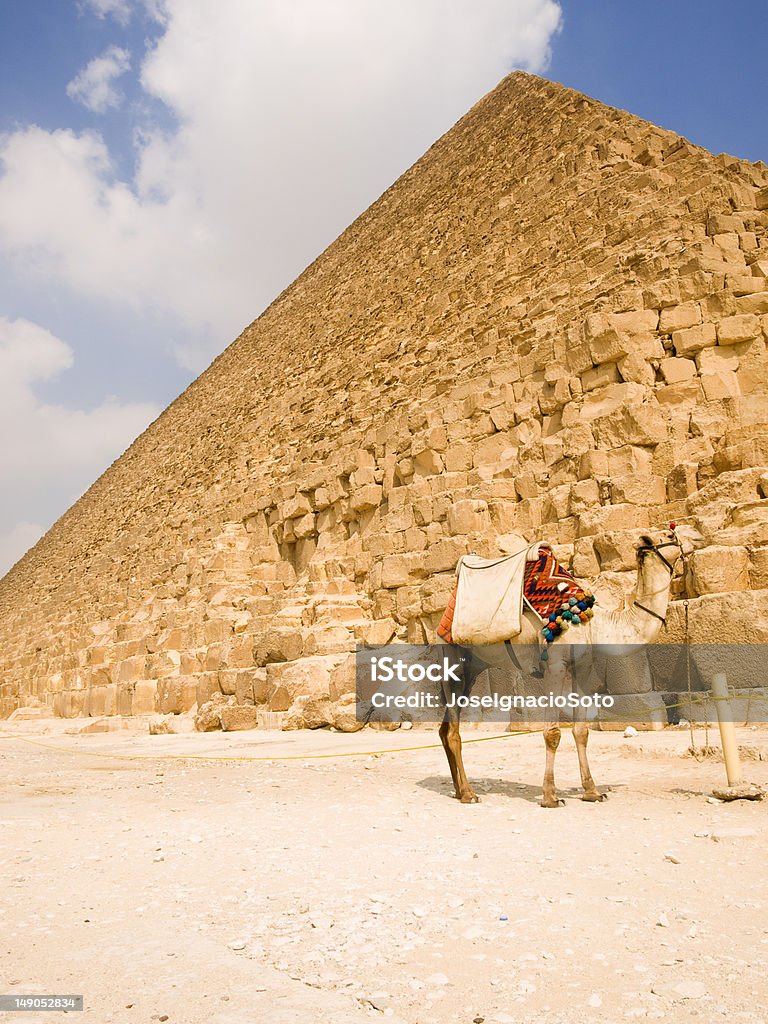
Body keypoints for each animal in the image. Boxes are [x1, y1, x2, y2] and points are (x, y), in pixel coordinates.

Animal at [442, 528, 708, 806]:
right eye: (669, 534)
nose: (697, 534)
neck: (594, 624)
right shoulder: (555, 665)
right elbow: (552, 733)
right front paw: (550, 796)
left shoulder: (583, 667)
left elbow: (582, 731)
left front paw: (592, 791)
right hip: (452, 655)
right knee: (452, 731)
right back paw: (469, 793)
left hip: (474, 667)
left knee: (445, 727)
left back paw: (459, 790)